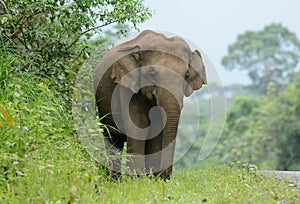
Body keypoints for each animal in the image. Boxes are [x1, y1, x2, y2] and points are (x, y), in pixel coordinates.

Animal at [94, 29, 206, 178]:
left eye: (186, 75)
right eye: (152, 73)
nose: (166, 177)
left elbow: (157, 132)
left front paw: (151, 179)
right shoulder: (127, 87)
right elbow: (138, 128)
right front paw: (137, 179)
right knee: (112, 138)